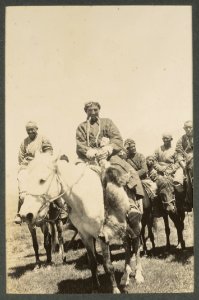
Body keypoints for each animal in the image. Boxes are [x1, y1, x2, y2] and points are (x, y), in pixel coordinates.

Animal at [18, 154, 143, 292]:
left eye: (42, 180)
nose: (25, 214)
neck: (85, 199)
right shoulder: (85, 235)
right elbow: (92, 263)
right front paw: (95, 288)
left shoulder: (102, 236)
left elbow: (108, 265)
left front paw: (115, 290)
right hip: (123, 229)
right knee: (127, 247)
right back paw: (125, 277)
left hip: (136, 225)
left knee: (136, 246)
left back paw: (138, 276)